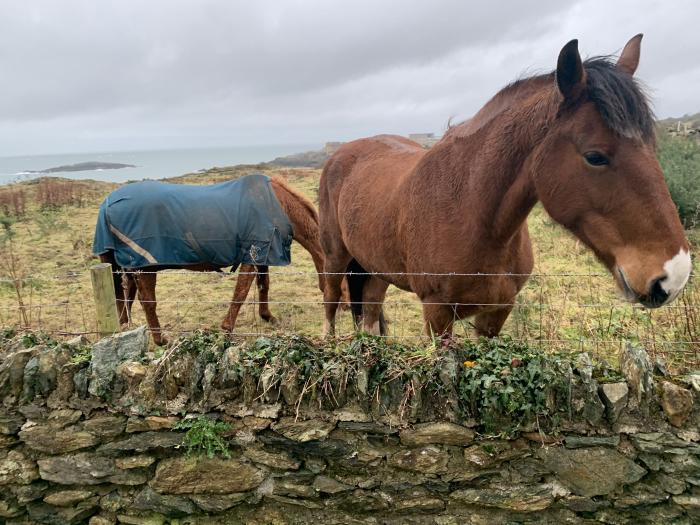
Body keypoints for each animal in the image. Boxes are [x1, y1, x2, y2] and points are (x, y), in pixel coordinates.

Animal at [101, 176, 336, 344]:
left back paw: (125, 330)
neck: (276, 205)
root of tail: (108, 205)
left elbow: (263, 286)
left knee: (125, 298)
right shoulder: (252, 256)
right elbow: (241, 293)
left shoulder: (262, 255)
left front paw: (267, 316)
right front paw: (227, 329)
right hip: (144, 266)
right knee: (146, 301)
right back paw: (160, 339)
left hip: (129, 266)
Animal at [320, 34, 692, 338]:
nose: (673, 277)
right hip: (335, 258)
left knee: (369, 314)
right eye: (595, 156)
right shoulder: (437, 315)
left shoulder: (496, 313)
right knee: (331, 304)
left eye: (652, 146)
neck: (470, 212)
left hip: (375, 267)